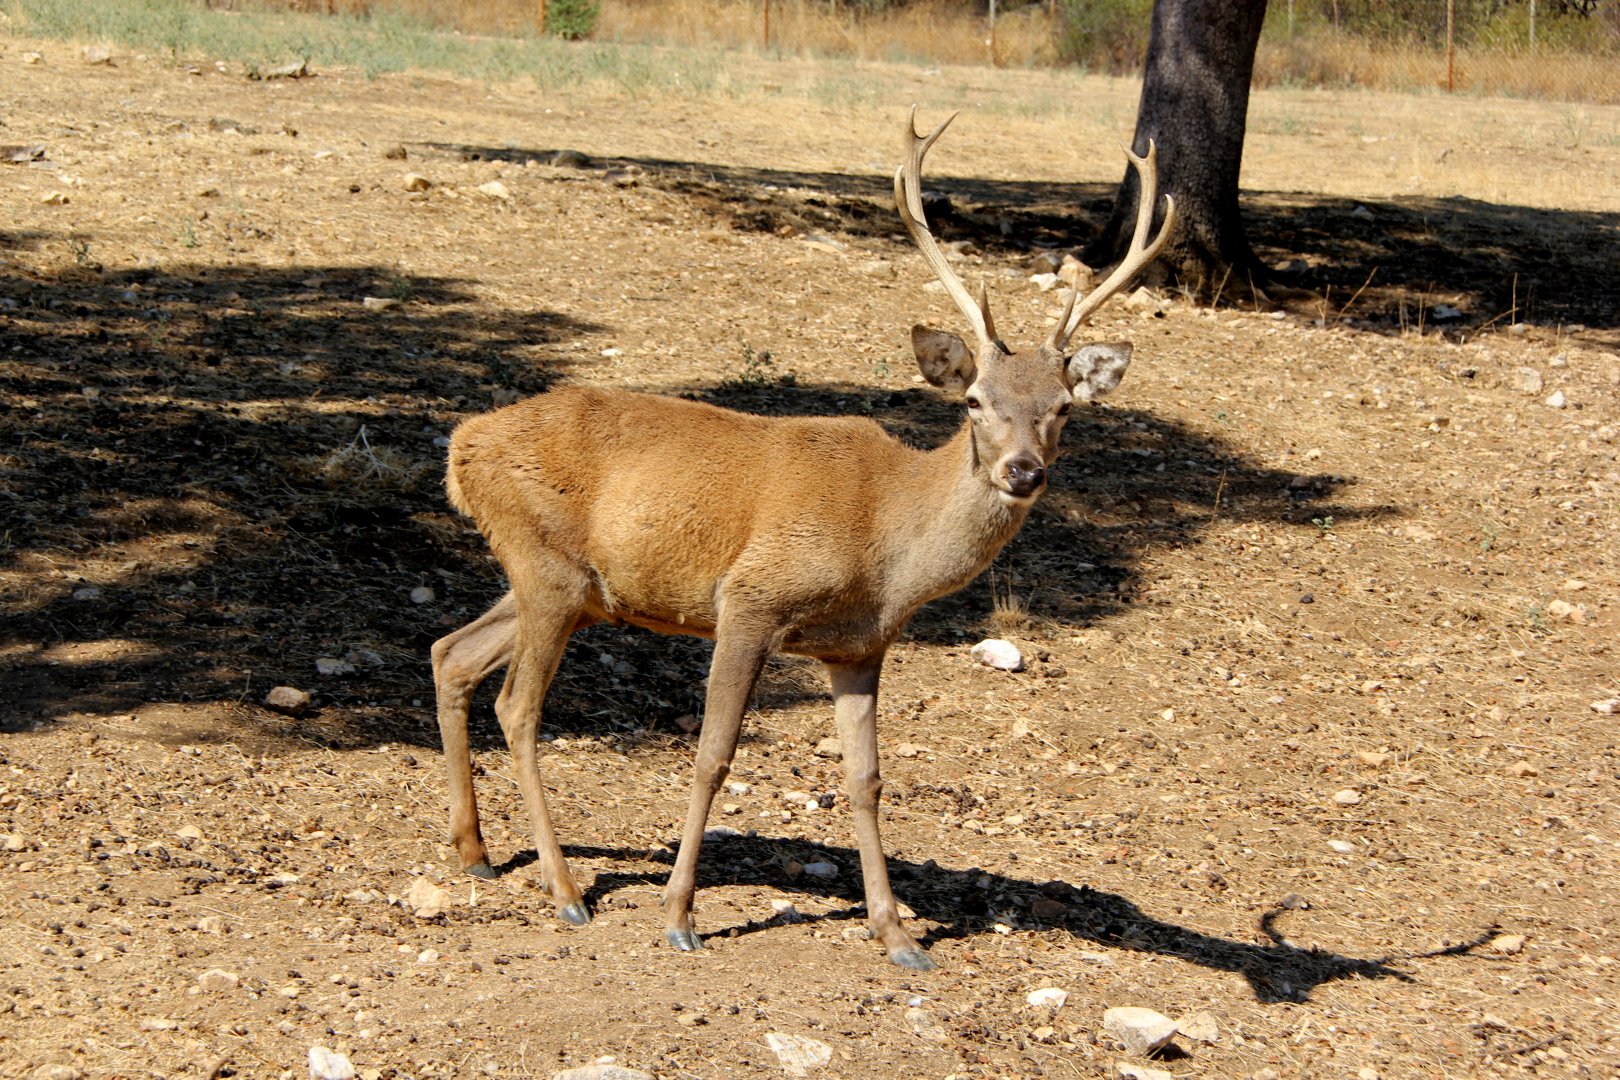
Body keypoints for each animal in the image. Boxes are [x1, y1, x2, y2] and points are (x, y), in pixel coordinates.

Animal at [430, 107, 1174, 971]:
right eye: (976, 401)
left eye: (1063, 407)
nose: (1022, 470)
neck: (887, 546)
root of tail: (460, 447)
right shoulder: (751, 600)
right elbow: (713, 754)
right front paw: (678, 915)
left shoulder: (859, 646)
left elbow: (867, 779)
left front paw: (897, 933)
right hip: (545, 567)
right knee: (517, 705)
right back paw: (565, 890)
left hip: (565, 583)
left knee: (451, 652)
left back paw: (477, 851)